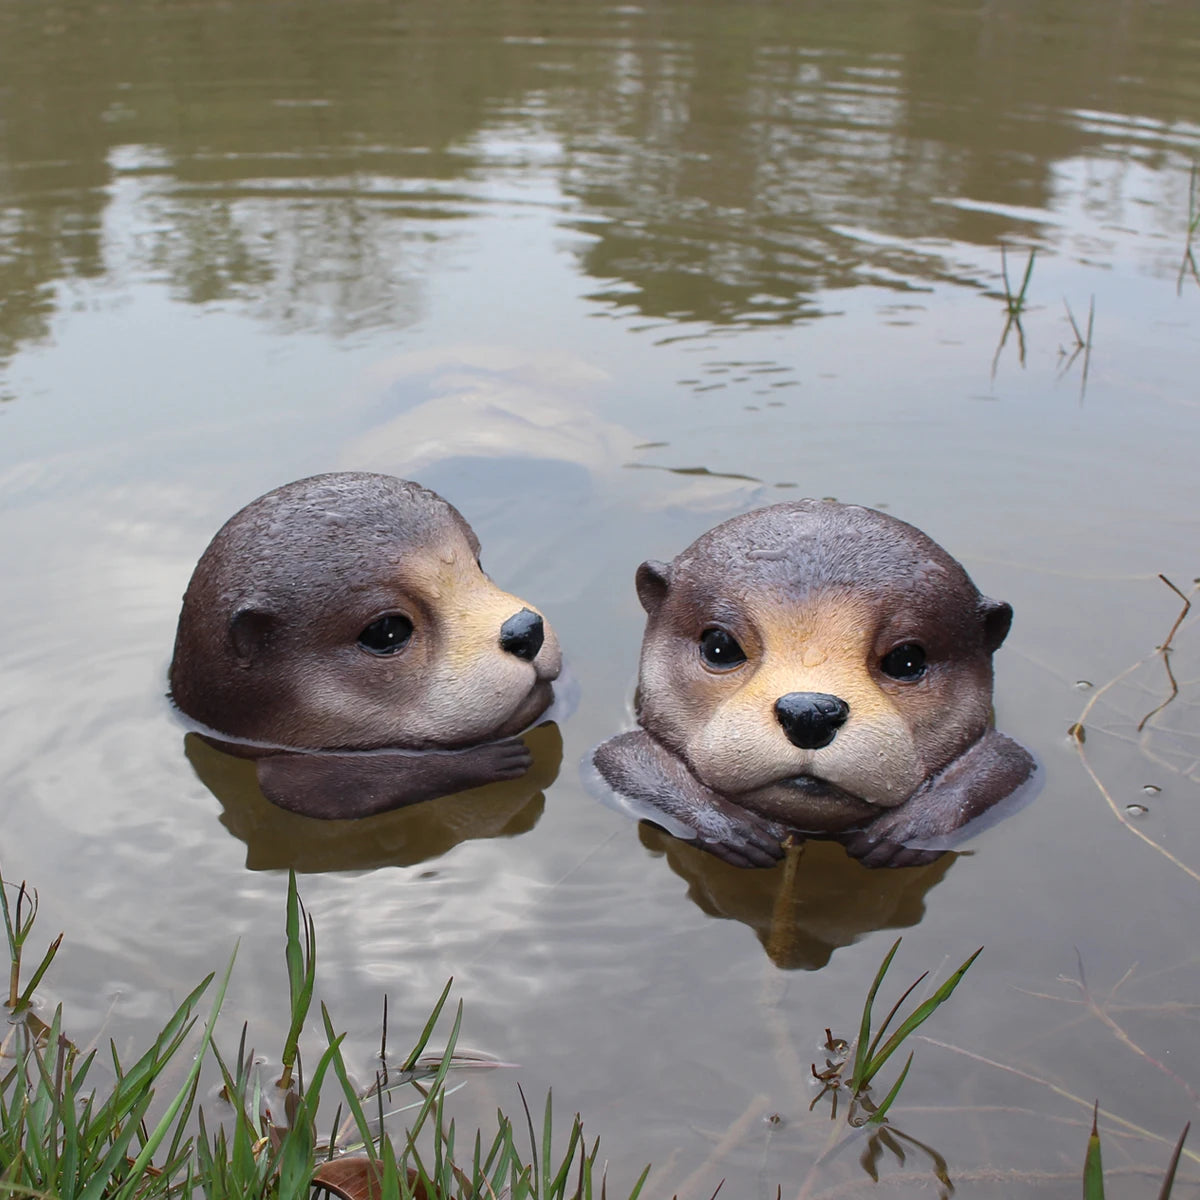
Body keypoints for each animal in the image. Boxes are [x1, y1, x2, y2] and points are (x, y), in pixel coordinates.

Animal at [593, 501, 1035, 868]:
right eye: (719, 646)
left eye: (907, 659)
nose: (810, 712)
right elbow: (617, 757)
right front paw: (731, 827)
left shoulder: (1014, 764)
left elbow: (1009, 762)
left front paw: (911, 828)